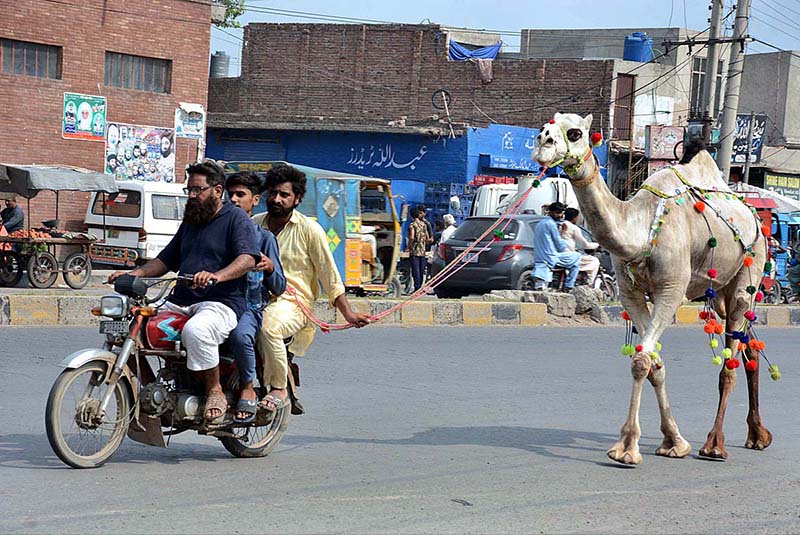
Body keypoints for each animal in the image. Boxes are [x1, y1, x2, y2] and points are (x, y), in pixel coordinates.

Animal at [536, 113, 772, 464]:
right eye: (543, 128)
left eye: (575, 133)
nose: (543, 143)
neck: (642, 227)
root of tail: (756, 217)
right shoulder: (630, 294)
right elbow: (653, 363)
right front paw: (673, 441)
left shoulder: (671, 289)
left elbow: (641, 361)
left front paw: (626, 448)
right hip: (722, 293)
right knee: (749, 349)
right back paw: (757, 436)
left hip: (750, 269)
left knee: (730, 361)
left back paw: (714, 444)